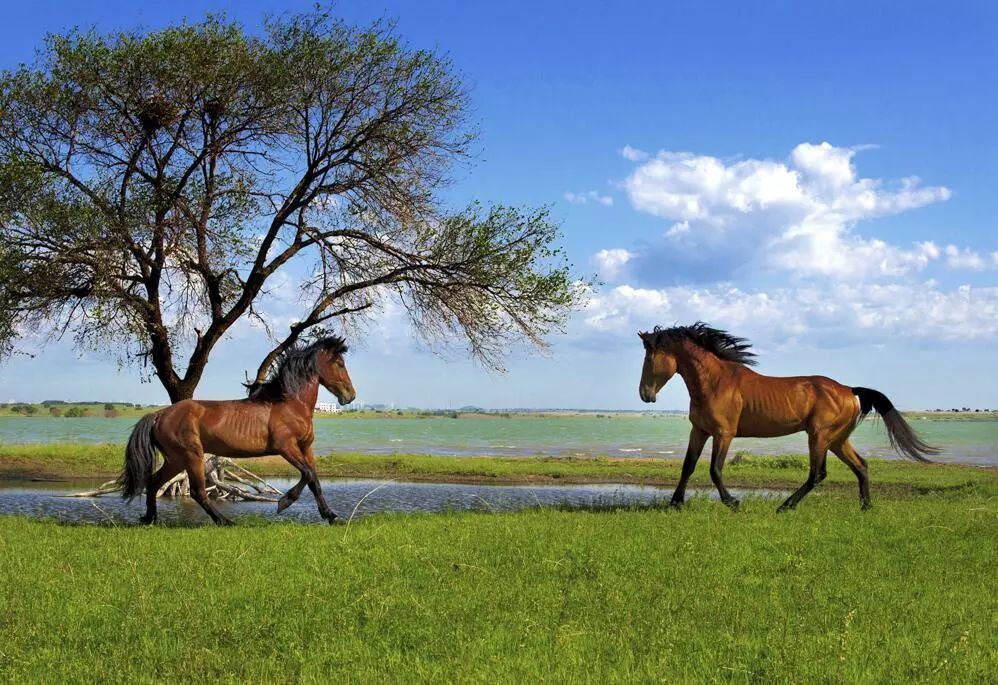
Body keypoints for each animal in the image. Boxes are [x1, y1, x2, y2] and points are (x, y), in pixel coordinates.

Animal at [120, 336, 356, 524]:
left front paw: (331, 516)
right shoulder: (286, 447)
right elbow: (307, 474)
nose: (350, 395)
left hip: (175, 459)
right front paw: (284, 502)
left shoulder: (306, 447)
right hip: (190, 455)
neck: (289, 404)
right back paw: (225, 521)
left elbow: (314, 480)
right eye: (339, 363)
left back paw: (150, 518)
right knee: (197, 492)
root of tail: (159, 415)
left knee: (153, 482)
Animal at [636, 324, 940, 510]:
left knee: (818, 473)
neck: (716, 382)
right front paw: (675, 503)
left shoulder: (724, 433)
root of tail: (848, 389)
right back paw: (865, 506)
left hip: (819, 436)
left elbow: (715, 469)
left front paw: (733, 502)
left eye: (649, 359)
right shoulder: (699, 431)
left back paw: (786, 506)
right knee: (861, 466)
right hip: (837, 440)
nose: (645, 394)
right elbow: (688, 466)